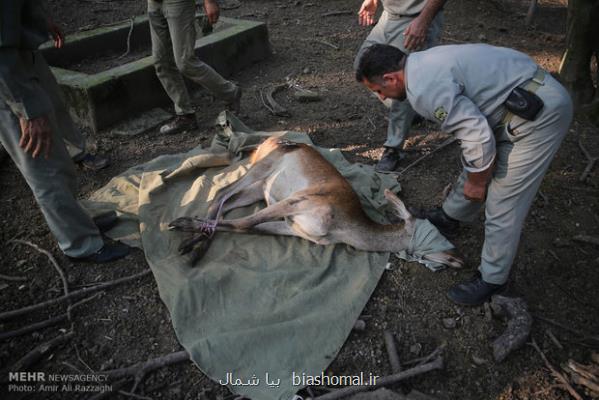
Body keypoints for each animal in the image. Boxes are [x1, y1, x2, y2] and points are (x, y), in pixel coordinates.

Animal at [169, 136, 464, 268]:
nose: (458, 259)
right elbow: (245, 224)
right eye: (432, 233)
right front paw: (182, 227)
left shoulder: (295, 228)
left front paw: (190, 242)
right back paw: (186, 230)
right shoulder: (299, 200)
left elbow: (250, 227)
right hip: (263, 166)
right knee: (222, 192)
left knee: (227, 201)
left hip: (259, 188)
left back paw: (196, 247)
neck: (340, 229)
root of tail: (266, 141)